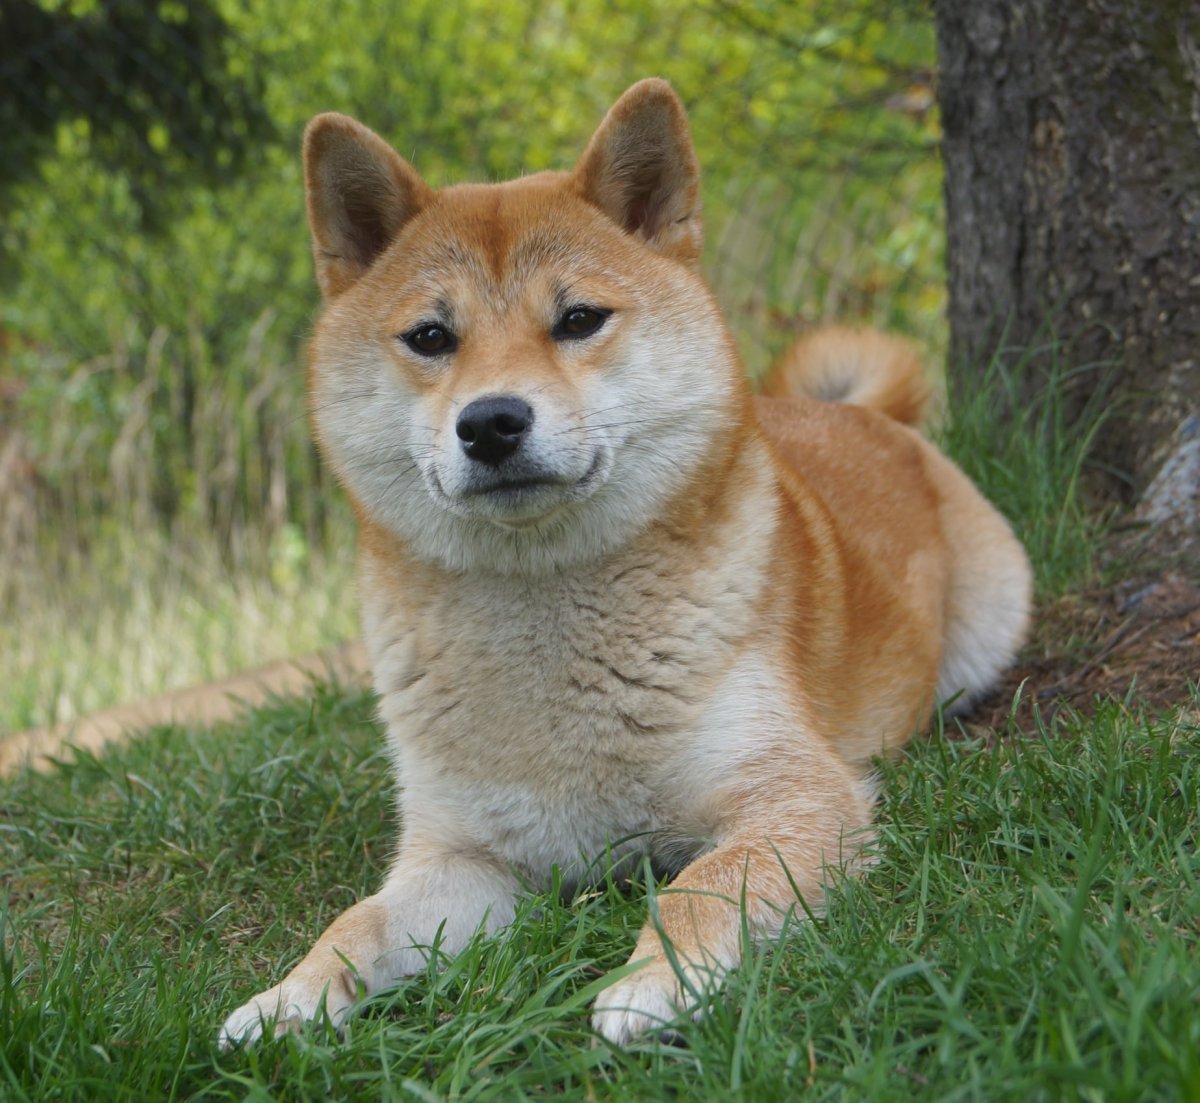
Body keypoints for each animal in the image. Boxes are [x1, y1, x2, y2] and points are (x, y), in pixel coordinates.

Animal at [218, 78, 1031, 1048]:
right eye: (430, 336)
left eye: (577, 319)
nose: (492, 421)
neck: (547, 632)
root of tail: (858, 414)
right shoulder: (463, 854)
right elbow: (357, 922)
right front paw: (288, 997)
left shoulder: (792, 796)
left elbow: (700, 888)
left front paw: (656, 981)